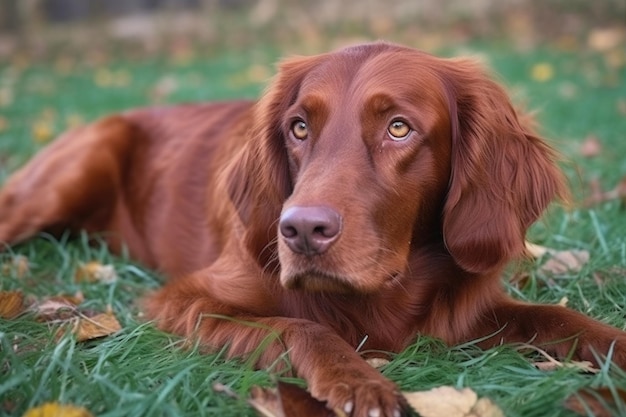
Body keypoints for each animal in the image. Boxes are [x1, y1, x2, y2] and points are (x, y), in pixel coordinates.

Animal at [1, 43, 624, 416]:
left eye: (399, 128)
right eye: (299, 127)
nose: (300, 230)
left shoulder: (466, 310)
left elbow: (561, 318)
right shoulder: (184, 300)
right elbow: (297, 326)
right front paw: (359, 382)